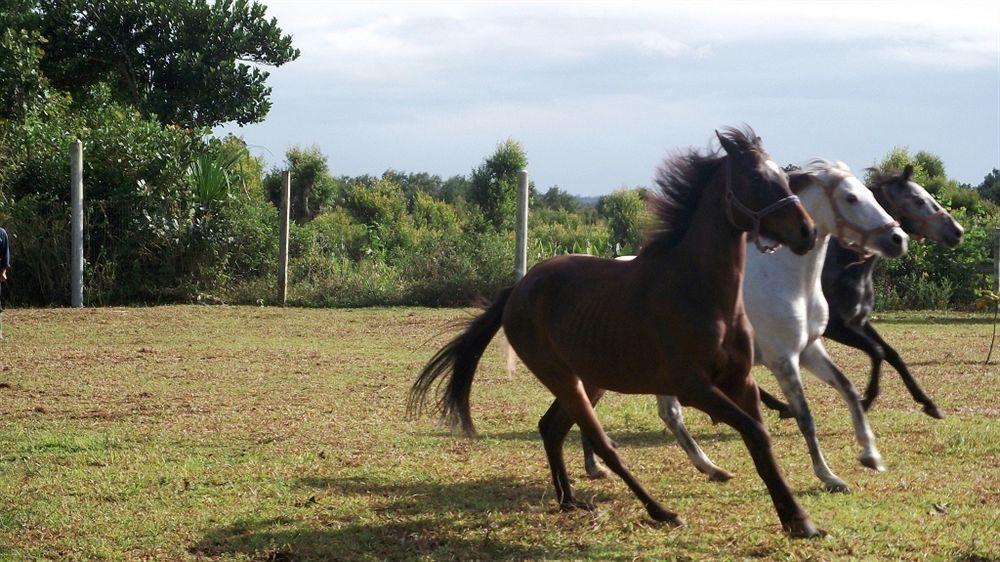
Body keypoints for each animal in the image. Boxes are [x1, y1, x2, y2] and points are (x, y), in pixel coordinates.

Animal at [410, 126, 824, 532]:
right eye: (755, 178)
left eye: (783, 176)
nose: (807, 231)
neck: (700, 291)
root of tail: (520, 288)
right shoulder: (693, 387)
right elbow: (755, 432)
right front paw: (798, 517)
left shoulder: (740, 381)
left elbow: (761, 440)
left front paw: (796, 516)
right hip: (561, 377)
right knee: (602, 445)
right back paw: (660, 512)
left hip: (588, 379)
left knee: (551, 427)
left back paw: (569, 500)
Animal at [572, 159, 908, 490]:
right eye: (850, 198)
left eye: (870, 194)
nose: (897, 239)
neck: (790, 284)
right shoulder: (783, 359)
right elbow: (805, 416)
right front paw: (828, 476)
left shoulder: (809, 349)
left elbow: (848, 389)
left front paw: (871, 455)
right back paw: (597, 467)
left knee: (667, 413)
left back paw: (707, 468)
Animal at [760, 164, 964, 418]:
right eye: (919, 200)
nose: (957, 232)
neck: (844, 267)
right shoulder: (835, 328)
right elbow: (877, 352)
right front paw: (866, 400)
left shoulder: (859, 322)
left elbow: (892, 354)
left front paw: (928, 403)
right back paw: (781, 406)